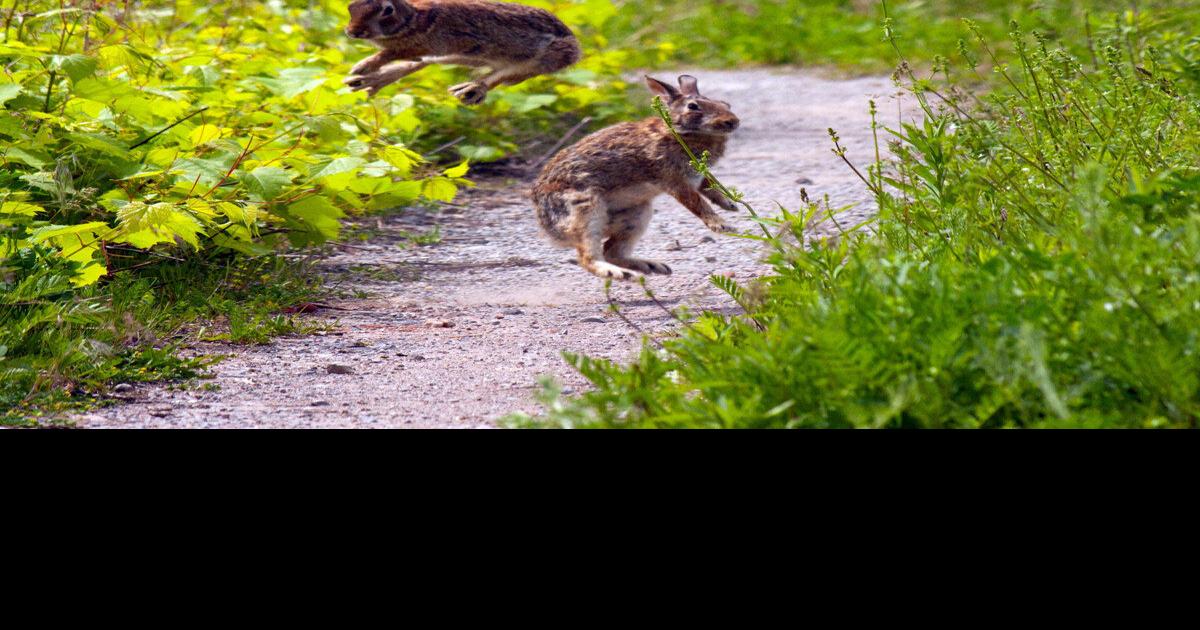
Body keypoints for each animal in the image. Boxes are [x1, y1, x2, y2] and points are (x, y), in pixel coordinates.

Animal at [342, 0, 582, 105]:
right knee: (424, 63)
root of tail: (575, 46)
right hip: (469, 55)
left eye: (387, 10)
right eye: (351, 6)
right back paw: (369, 82)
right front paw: (362, 72)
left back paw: (470, 90)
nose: (352, 32)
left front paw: (363, 66)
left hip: (545, 56)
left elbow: (390, 53)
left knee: (503, 75)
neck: (411, 20)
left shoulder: (426, 44)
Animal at [531, 74, 741, 281]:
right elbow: (697, 202)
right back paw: (617, 273)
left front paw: (730, 205)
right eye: (693, 106)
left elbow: (711, 185)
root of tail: (547, 226)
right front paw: (722, 225)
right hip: (586, 209)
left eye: (725, 104)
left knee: (612, 251)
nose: (733, 121)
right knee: (587, 255)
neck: (681, 133)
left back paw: (652, 266)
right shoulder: (674, 179)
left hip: (638, 213)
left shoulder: (697, 175)